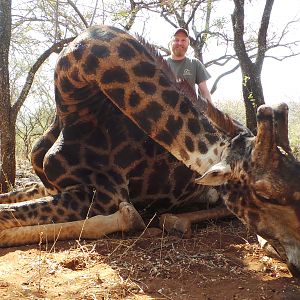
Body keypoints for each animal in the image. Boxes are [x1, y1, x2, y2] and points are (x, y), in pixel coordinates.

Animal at [1, 25, 300, 276]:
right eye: (266, 194)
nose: (298, 263)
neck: (73, 102)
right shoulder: (53, 185)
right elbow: (11, 199)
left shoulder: (102, 195)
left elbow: (6, 215)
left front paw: (130, 217)